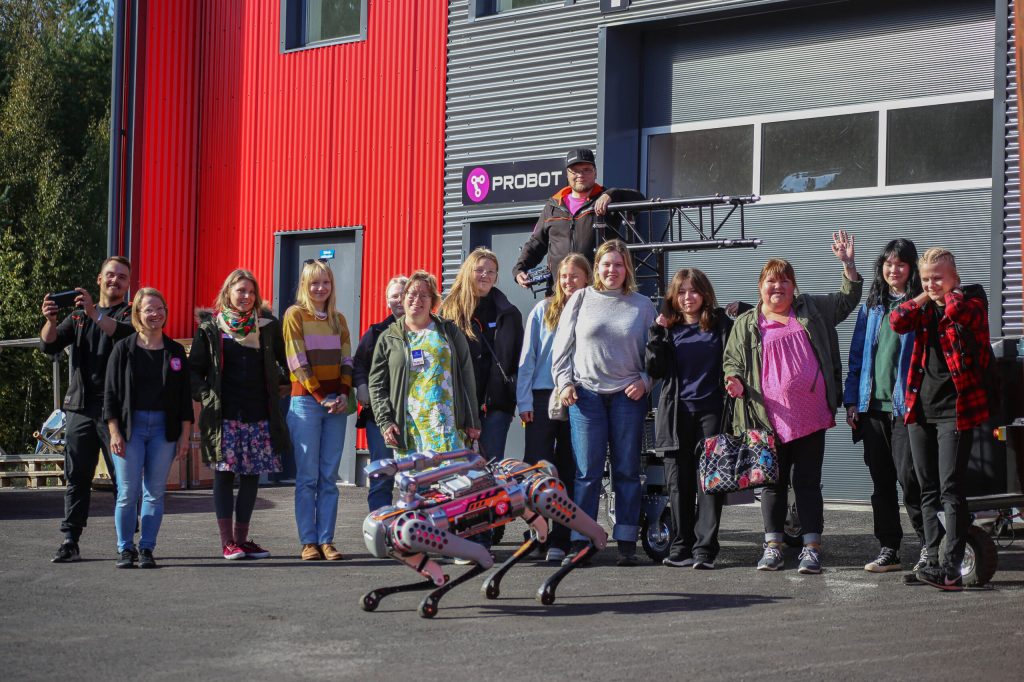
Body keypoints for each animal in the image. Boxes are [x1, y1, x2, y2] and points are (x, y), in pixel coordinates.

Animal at [362, 450, 606, 614]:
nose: (373, 529)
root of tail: (529, 473)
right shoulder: (408, 551)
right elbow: (436, 575)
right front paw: (375, 597)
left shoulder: (413, 530)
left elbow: (483, 558)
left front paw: (430, 603)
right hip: (527, 507)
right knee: (539, 535)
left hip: (543, 497)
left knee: (597, 535)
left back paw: (549, 587)